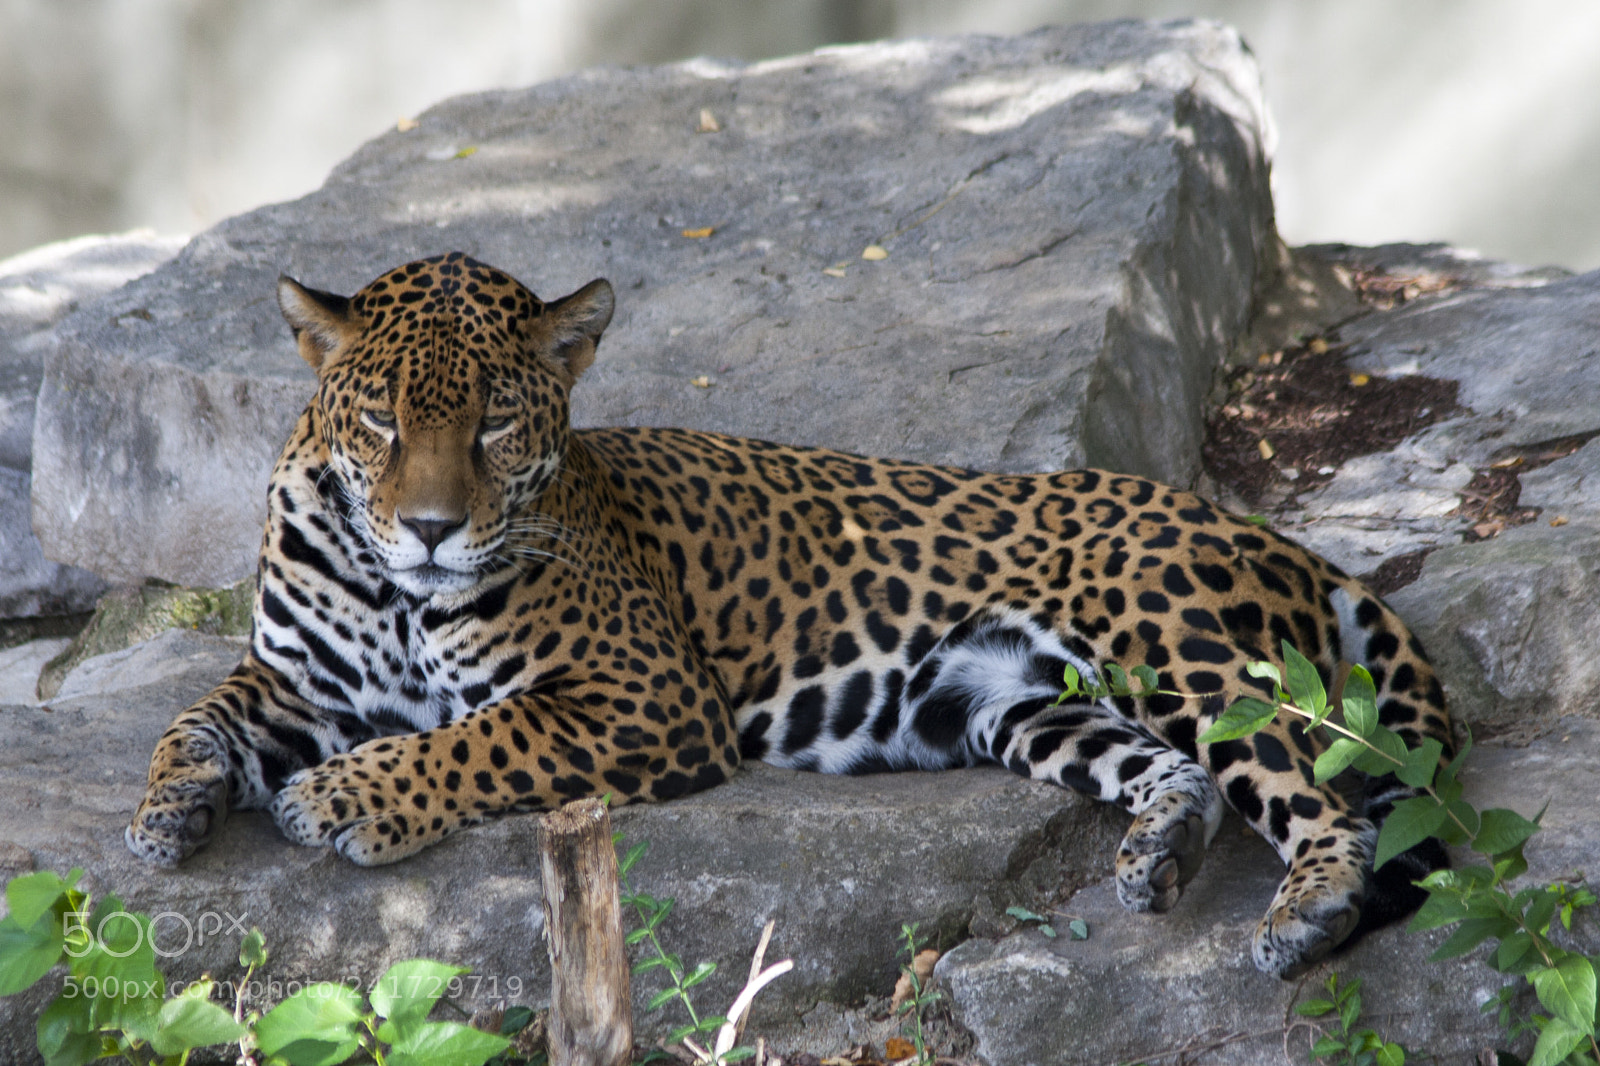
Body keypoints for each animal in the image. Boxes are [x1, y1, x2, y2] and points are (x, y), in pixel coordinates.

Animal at [127, 252, 1453, 979]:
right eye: (382, 421)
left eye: (497, 422)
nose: (432, 528)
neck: (399, 591)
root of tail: (1265, 532)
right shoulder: (304, 681)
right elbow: (195, 715)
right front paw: (166, 812)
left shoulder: (643, 696)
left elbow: (470, 738)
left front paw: (346, 797)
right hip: (1015, 704)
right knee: (1175, 773)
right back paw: (1158, 853)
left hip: (1176, 652)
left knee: (1324, 798)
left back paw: (1303, 912)